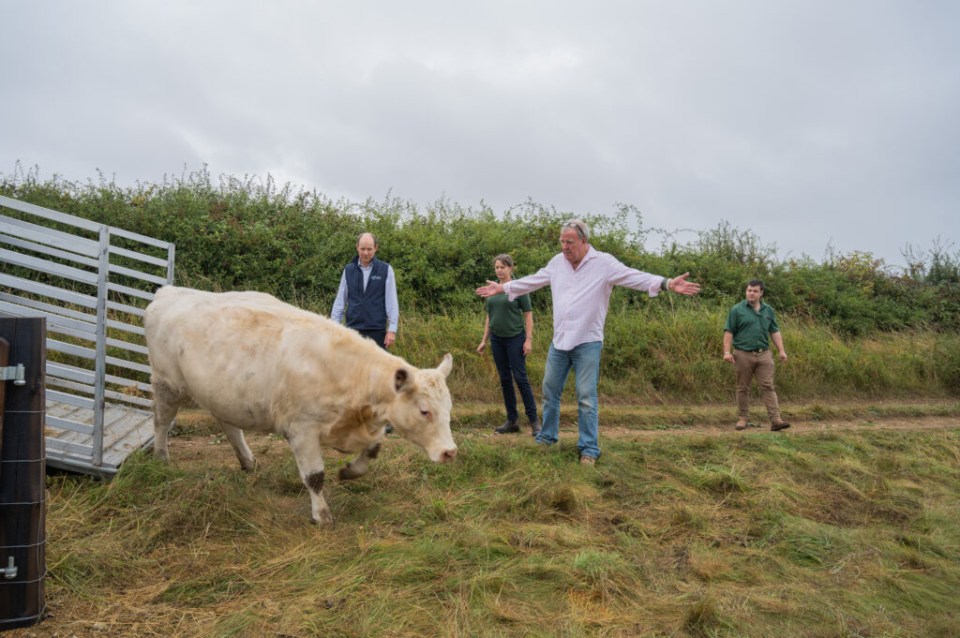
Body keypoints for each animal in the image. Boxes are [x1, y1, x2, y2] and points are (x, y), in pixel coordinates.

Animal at [142, 288, 458, 528]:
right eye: (425, 411)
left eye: (449, 408)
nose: (450, 452)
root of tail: (168, 292)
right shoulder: (302, 429)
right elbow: (314, 476)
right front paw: (322, 515)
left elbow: (372, 450)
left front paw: (349, 472)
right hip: (167, 384)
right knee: (161, 421)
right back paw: (161, 457)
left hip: (220, 393)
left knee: (229, 427)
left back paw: (248, 461)